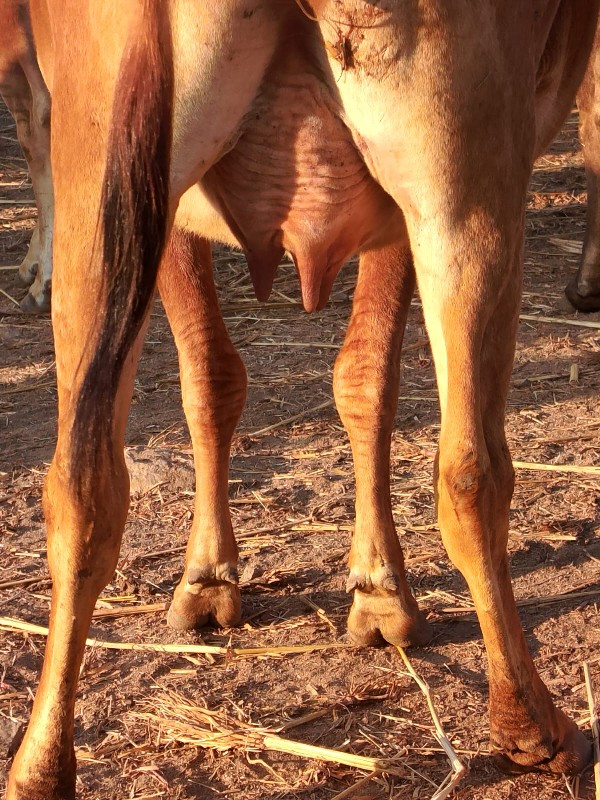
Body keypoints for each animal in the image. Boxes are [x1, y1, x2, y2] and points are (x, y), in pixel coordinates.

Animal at [5, 1, 600, 800]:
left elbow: (224, 378)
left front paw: (210, 581)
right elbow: (361, 379)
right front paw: (380, 593)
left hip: (98, 187)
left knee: (80, 483)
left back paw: (38, 765)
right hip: (465, 185)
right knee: (471, 469)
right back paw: (534, 726)